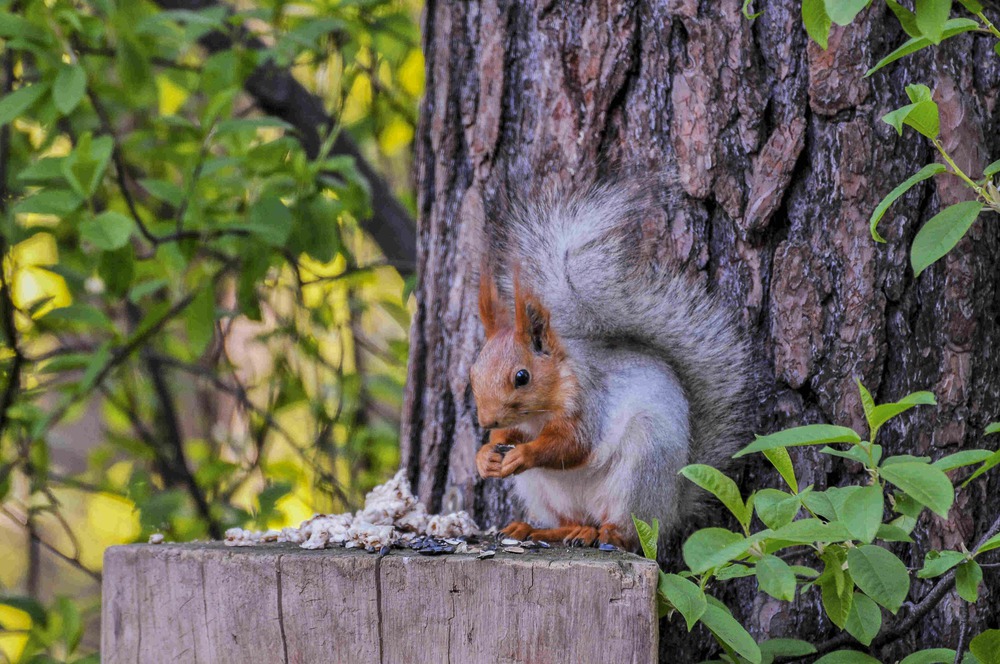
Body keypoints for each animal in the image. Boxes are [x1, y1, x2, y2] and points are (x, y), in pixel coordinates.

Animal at [472, 179, 748, 552]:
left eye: (522, 376)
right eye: (473, 373)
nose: (486, 420)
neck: (539, 413)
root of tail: (671, 508)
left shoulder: (587, 401)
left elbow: (572, 446)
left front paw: (524, 454)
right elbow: (509, 436)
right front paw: (486, 454)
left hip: (640, 470)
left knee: (625, 532)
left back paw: (602, 534)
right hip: (545, 494)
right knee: (573, 520)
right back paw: (541, 530)